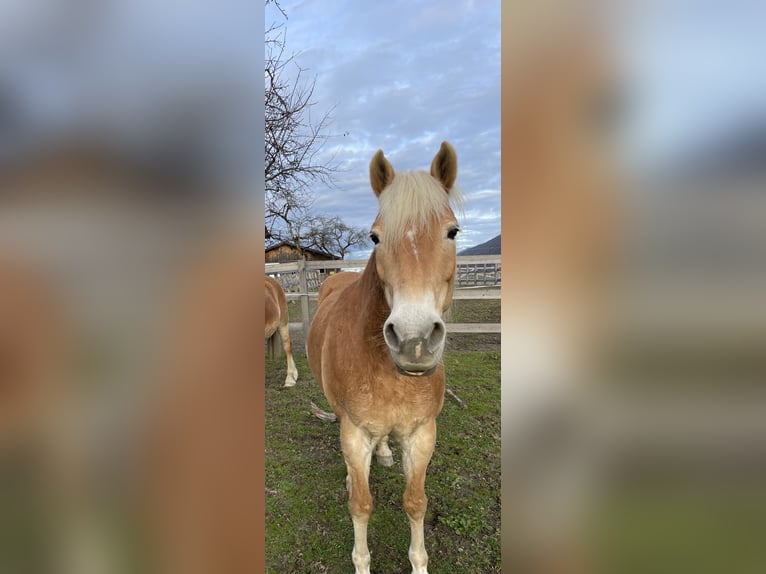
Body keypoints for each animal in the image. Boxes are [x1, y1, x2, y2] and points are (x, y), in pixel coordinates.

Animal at [308, 141, 464, 574]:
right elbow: (361, 505)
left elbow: (416, 503)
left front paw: (420, 563)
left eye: (452, 231)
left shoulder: (422, 434)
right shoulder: (354, 432)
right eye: (375, 238)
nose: (414, 340)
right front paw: (362, 562)